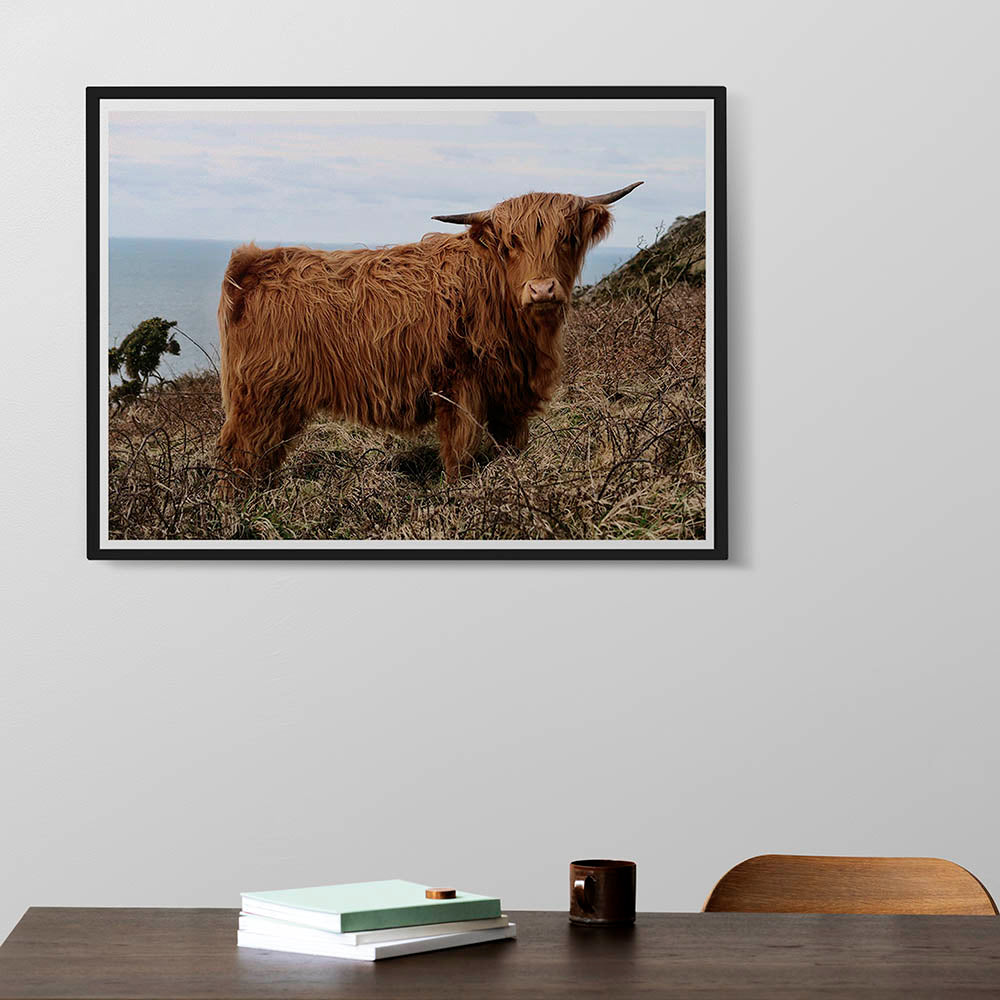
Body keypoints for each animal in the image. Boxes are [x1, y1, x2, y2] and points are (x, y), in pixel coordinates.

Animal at [216, 181, 642, 483]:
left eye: (567, 238)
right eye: (511, 244)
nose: (541, 290)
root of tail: (253, 262)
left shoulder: (510, 395)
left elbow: (510, 447)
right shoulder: (460, 387)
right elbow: (461, 454)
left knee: (262, 457)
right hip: (262, 396)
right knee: (240, 454)